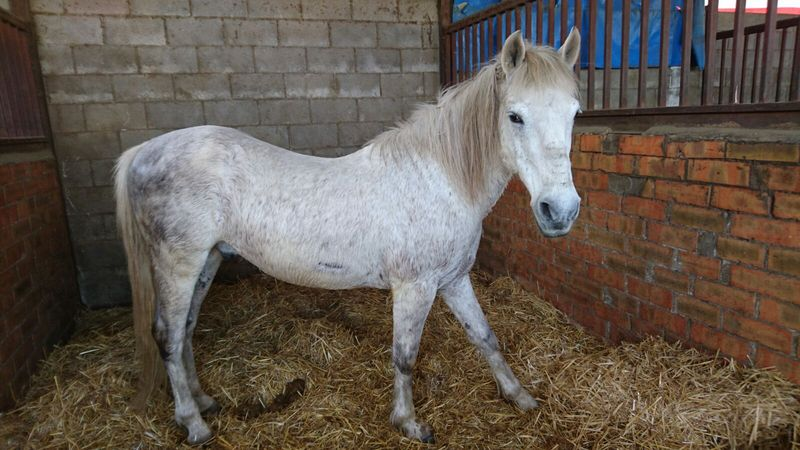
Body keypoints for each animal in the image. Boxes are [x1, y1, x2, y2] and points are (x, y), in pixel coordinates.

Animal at [114, 29, 582, 445]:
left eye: (574, 114)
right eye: (515, 116)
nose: (560, 211)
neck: (441, 179)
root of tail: (143, 152)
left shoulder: (453, 280)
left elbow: (485, 337)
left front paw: (519, 397)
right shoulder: (415, 287)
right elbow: (405, 355)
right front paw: (409, 424)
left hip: (208, 259)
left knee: (187, 329)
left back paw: (204, 402)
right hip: (178, 263)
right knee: (169, 337)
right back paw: (194, 424)